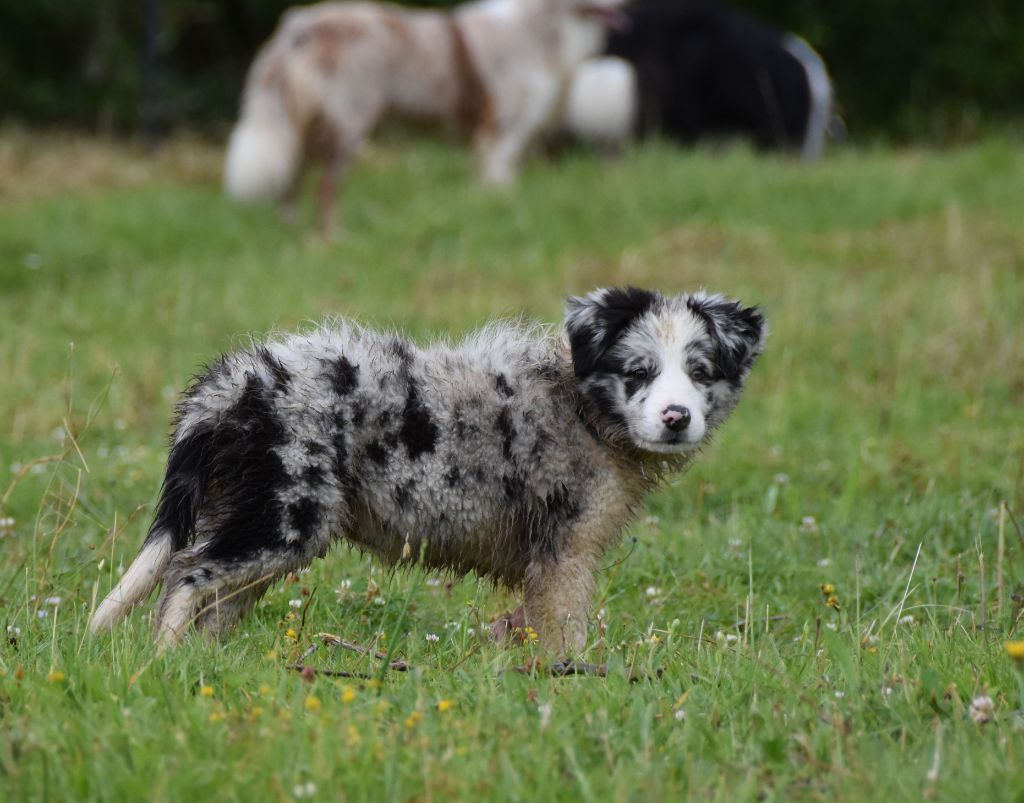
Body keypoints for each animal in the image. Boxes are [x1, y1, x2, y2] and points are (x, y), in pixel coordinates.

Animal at [90, 288, 765, 654]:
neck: (579, 401)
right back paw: (167, 663)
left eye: (700, 372)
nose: (677, 418)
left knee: (215, 602)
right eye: (638, 372)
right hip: (284, 517)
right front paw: (576, 683)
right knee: (185, 575)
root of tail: (231, 383)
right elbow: (565, 634)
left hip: (262, 523)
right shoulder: (565, 553)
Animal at [224, 0, 625, 236]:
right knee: (325, 188)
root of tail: (299, 26)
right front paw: (499, 208)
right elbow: (498, 180)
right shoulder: (501, 129)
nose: (625, 6)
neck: (538, 25)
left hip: (303, 128)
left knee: (290, 182)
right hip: (349, 125)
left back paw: (292, 231)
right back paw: (334, 238)